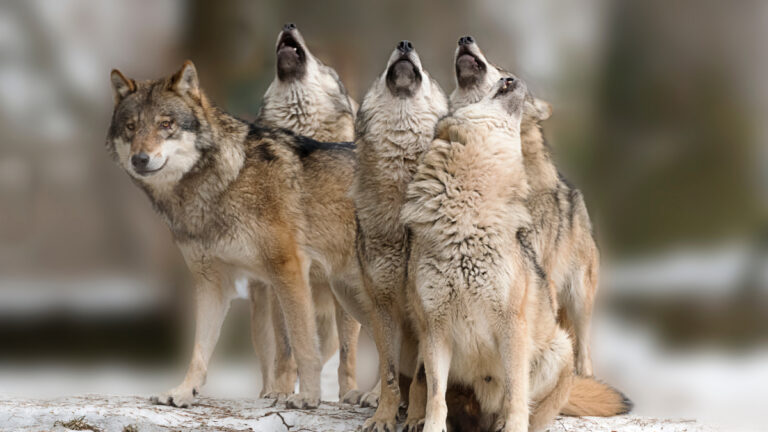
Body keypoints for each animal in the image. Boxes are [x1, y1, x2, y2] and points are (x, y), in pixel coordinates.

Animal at [106, 61, 369, 409]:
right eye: (131, 127)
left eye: (166, 124)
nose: (140, 159)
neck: (219, 183)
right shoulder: (212, 283)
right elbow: (200, 350)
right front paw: (182, 391)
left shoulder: (288, 269)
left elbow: (302, 346)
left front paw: (309, 397)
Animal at [254, 23, 361, 400]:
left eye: (323, 63)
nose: (288, 24)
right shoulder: (282, 279)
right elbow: (286, 348)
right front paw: (282, 392)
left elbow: (348, 352)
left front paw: (348, 394)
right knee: (270, 356)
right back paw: (268, 391)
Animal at [404, 77, 628, 432]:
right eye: (477, 98)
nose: (509, 79)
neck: (467, 222)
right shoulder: (434, 329)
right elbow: (435, 398)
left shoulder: (512, 326)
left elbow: (515, 396)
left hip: (565, 334)